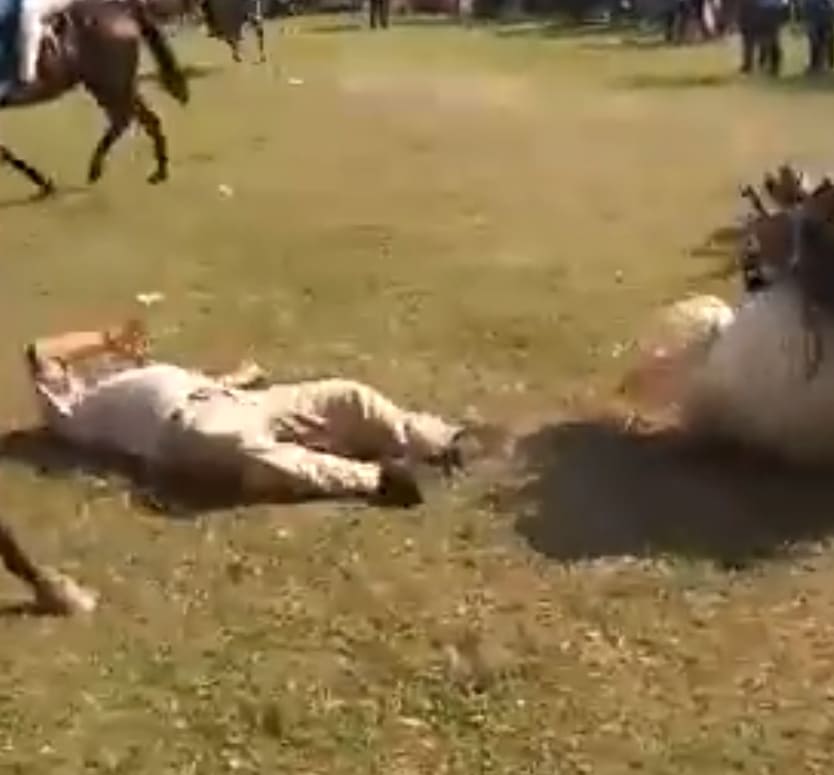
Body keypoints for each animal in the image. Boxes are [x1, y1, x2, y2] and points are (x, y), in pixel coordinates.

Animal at [0, 0, 189, 195]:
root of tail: (121, 10)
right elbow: (3, 150)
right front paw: (42, 182)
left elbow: (2, 151)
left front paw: (42, 182)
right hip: (112, 85)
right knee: (148, 119)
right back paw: (159, 171)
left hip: (109, 85)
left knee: (124, 119)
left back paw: (95, 169)